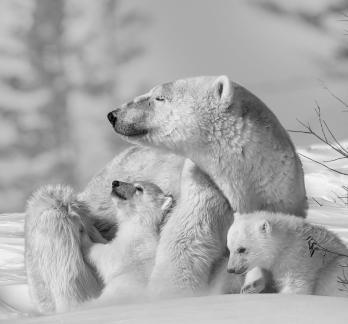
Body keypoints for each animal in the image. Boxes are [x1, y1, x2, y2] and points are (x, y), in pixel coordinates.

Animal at [82, 178, 174, 306]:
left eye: (139, 188)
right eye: (133, 181)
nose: (115, 182)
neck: (139, 222)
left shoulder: (133, 245)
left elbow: (110, 259)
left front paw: (84, 235)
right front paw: (93, 230)